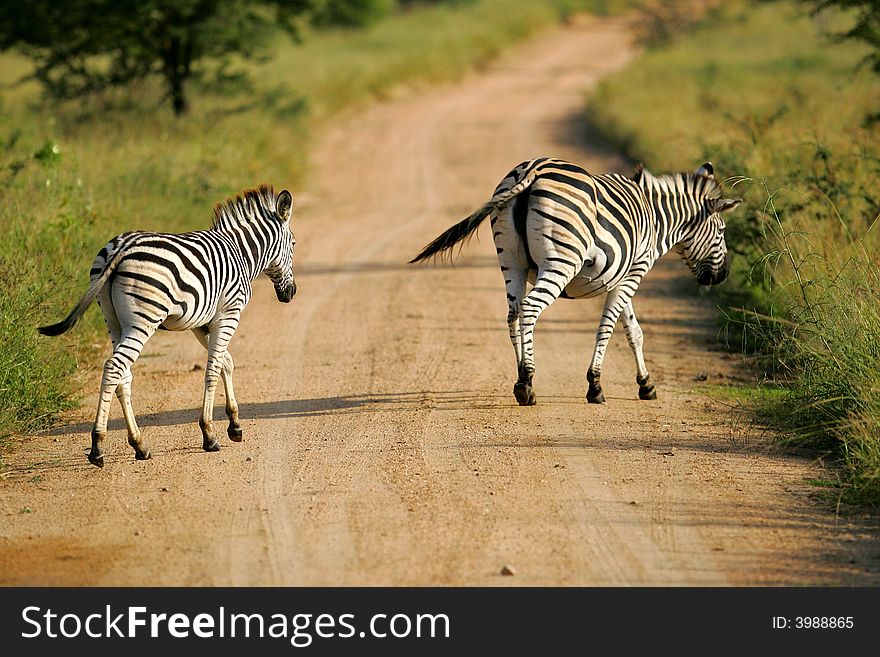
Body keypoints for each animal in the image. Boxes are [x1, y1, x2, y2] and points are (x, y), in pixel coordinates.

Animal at [37, 186, 298, 466]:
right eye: (293, 244)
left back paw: (139, 444)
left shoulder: (201, 323)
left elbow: (225, 362)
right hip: (143, 320)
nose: (291, 293)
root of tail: (121, 248)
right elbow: (213, 369)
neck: (241, 252)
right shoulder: (229, 314)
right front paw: (209, 434)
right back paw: (97, 446)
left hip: (113, 320)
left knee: (123, 375)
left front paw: (235, 425)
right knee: (114, 367)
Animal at [410, 158, 740, 404]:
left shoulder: (621, 278)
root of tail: (531, 169)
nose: (723, 275)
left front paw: (646, 384)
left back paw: (520, 379)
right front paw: (595, 386)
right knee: (530, 309)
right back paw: (527, 381)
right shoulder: (634, 273)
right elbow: (607, 329)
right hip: (561, 261)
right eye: (722, 231)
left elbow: (634, 331)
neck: (657, 216)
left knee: (513, 314)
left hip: (511, 262)